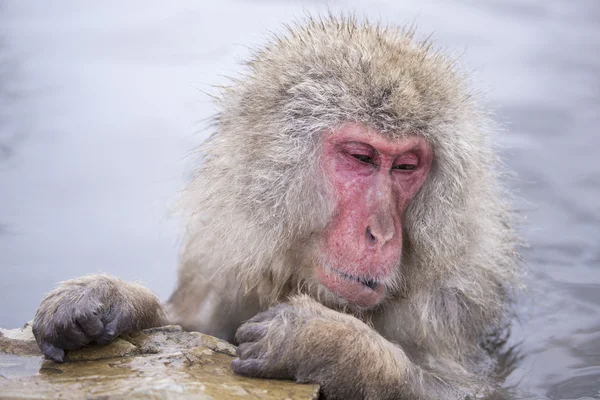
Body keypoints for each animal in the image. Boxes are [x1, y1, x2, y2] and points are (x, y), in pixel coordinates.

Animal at [31, 16, 520, 400]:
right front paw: (111, 297)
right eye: (362, 157)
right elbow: (191, 324)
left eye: (405, 166)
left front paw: (330, 344)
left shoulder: (447, 301)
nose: (380, 232)